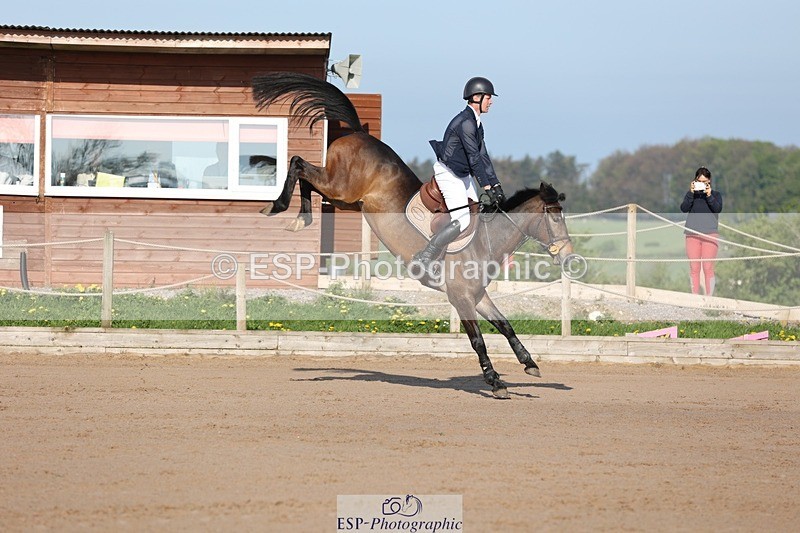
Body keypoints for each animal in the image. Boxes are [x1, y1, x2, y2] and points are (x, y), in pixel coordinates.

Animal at [252, 72, 574, 398]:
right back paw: (278, 207)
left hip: (345, 198)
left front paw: (529, 363)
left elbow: (505, 325)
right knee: (298, 163)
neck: (486, 240)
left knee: (307, 176)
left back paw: (299, 218)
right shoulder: (460, 298)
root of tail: (360, 133)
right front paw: (495, 381)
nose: (569, 256)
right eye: (555, 217)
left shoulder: (478, 296)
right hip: (340, 187)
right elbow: (478, 340)